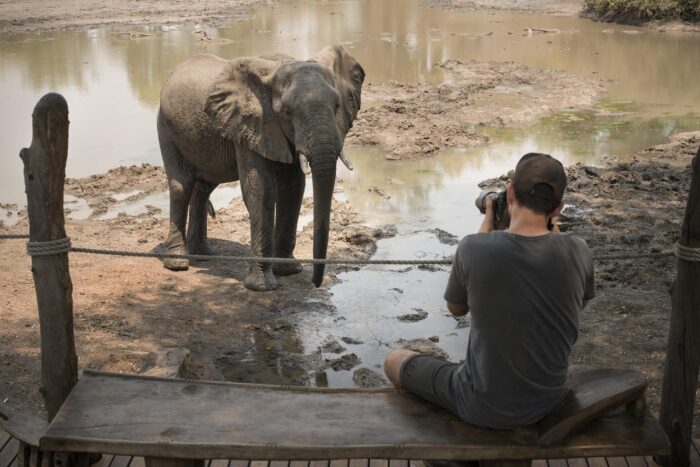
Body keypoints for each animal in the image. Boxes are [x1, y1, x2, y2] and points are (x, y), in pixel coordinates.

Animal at [156, 45, 364, 290]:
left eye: (337, 106)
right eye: (287, 111)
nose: (316, 283)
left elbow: (292, 190)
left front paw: (289, 271)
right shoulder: (251, 123)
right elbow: (261, 190)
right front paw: (263, 286)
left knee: (205, 186)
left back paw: (204, 254)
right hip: (167, 127)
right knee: (181, 187)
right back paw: (178, 263)